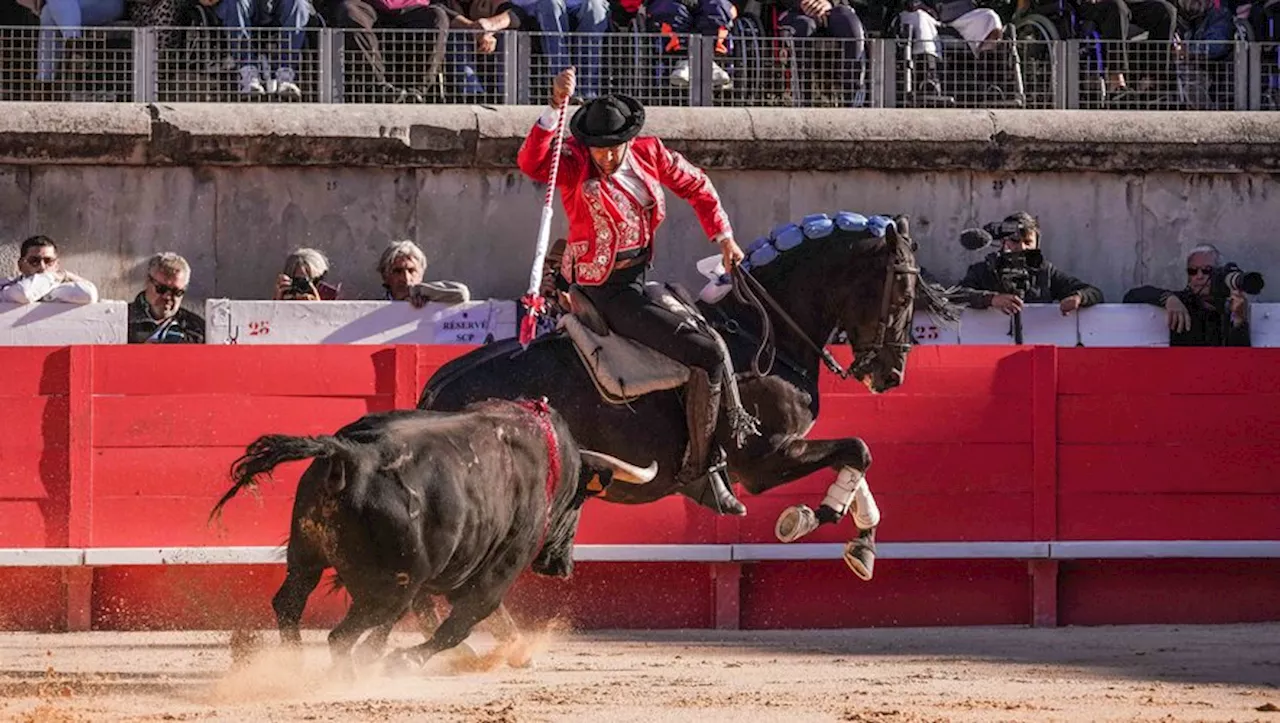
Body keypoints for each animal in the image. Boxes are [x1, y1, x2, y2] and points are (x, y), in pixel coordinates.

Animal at [209, 396, 655, 670]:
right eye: (580, 500)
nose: (562, 566)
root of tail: (353, 454)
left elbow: (445, 616)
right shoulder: (499, 568)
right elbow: (464, 620)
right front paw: (405, 660)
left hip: (308, 558)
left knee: (291, 604)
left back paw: (294, 662)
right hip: (388, 587)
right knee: (343, 635)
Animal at [414, 209, 957, 575]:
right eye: (904, 295)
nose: (892, 374)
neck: (760, 333)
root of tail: (437, 390)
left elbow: (857, 453)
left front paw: (858, 540)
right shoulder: (764, 459)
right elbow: (858, 449)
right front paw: (810, 517)